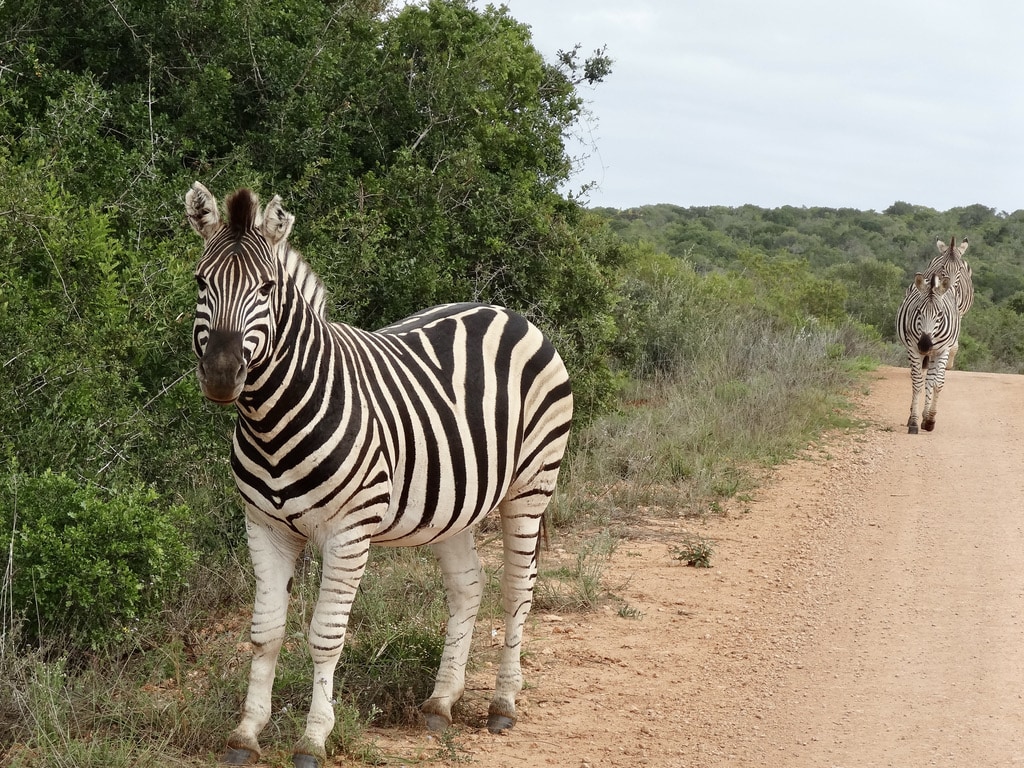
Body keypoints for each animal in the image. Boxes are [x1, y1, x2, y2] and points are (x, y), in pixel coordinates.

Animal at [181, 182, 573, 768]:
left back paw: (503, 704)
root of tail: (507, 312)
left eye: (267, 288)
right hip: (454, 503)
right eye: (201, 282)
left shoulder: (348, 532)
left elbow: (324, 636)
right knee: (468, 586)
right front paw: (246, 734)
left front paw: (312, 740)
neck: (272, 418)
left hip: (531, 484)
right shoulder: (264, 527)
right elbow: (265, 632)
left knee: (516, 589)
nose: (223, 376)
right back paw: (440, 704)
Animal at [897, 272, 958, 434]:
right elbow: (917, 383)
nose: (924, 345)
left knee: (930, 380)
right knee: (916, 379)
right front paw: (913, 421)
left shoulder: (944, 350)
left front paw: (930, 420)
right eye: (918, 311)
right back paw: (915, 415)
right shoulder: (913, 349)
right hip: (914, 352)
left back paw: (925, 417)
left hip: (934, 355)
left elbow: (937, 383)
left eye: (940, 314)